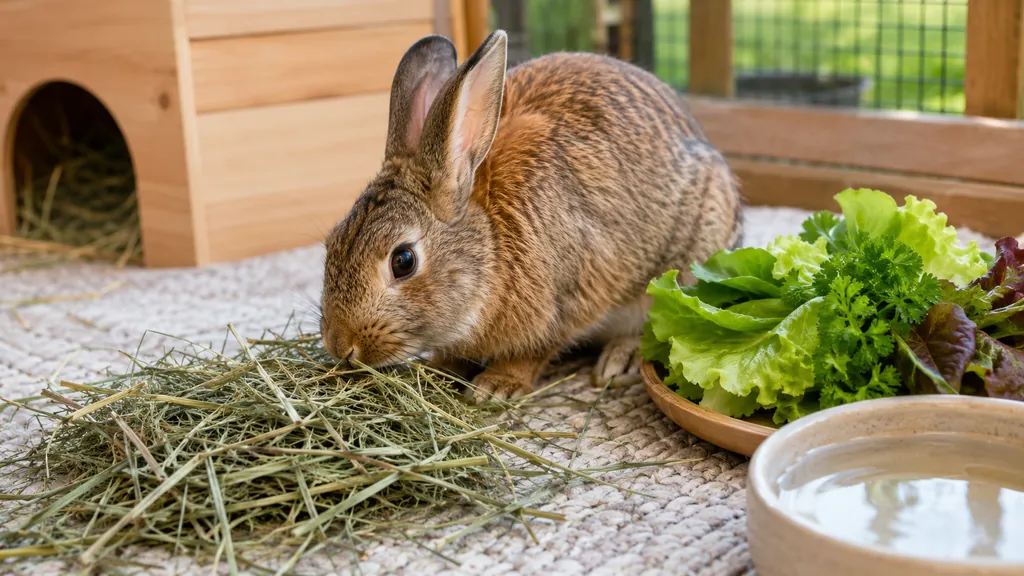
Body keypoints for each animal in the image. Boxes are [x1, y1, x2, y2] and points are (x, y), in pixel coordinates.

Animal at [319, 30, 743, 403]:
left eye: (403, 261)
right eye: (332, 242)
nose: (341, 346)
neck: (490, 242)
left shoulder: (567, 300)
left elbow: (533, 351)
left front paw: (495, 387)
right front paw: (438, 369)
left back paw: (617, 362)